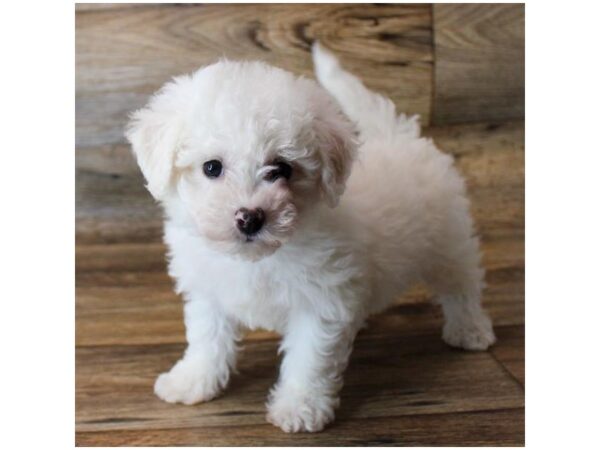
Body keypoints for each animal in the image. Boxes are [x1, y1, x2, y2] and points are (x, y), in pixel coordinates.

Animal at [124, 43, 494, 432]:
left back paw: (470, 328)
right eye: (212, 167)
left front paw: (299, 407)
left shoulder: (321, 302)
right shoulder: (209, 290)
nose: (250, 217)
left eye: (281, 169)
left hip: (448, 240)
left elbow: (309, 359)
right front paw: (193, 380)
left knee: (461, 285)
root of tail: (400, 135)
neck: (261, 257)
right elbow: (207, 338)